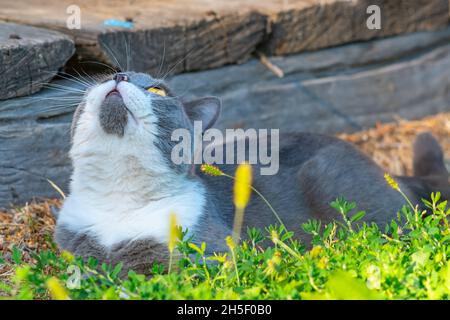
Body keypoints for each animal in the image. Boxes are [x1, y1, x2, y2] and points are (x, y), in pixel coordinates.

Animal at [55, 72, 450, 276]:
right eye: (107, 74)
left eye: (156, 89)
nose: (119, 75)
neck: (118, 196)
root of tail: (391, 173)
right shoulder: (71, 245)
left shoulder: (206, 254)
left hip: (332, 179)